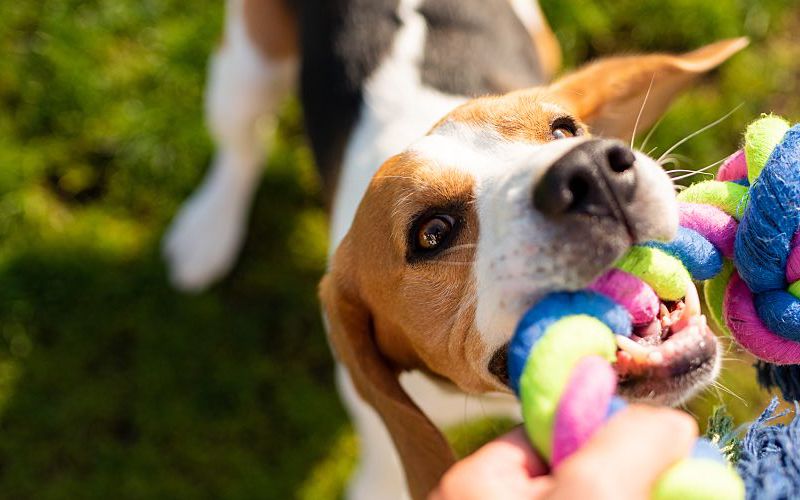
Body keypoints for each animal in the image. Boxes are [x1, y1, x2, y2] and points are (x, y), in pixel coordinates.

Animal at [159, 0, 748, 500]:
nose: (593, 172)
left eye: (564, 130)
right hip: (248, 65)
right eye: (432, 233)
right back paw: (208, 229)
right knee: (242, 143)